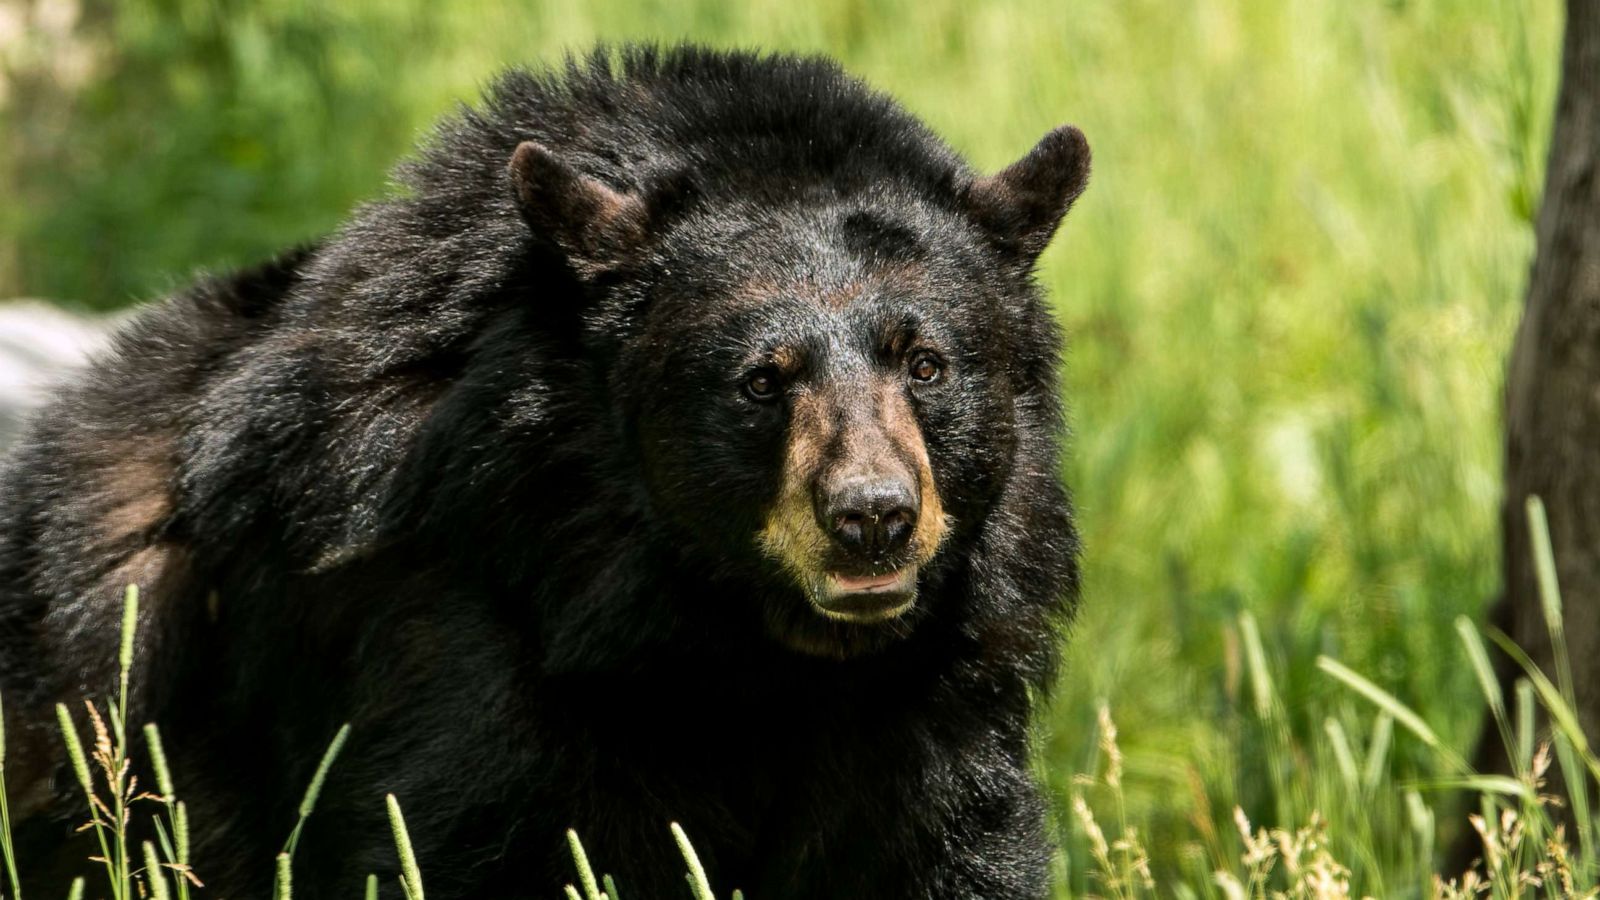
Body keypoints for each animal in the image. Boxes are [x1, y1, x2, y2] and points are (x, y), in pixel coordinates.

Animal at [0, 45, 1089, 899]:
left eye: (926, 362)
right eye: (760, 380)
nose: (872, 516)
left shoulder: (937, 689)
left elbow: (943, 847)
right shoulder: (465, 627)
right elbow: (478, 840)